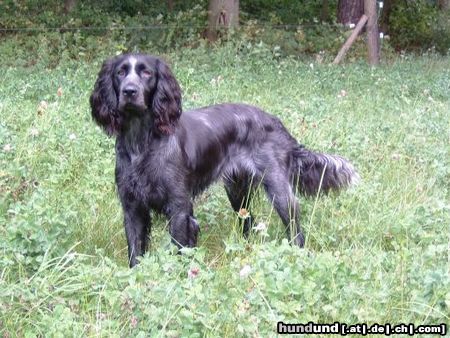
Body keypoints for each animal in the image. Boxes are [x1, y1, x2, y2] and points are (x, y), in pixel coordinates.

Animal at [89, 53, 360, 266]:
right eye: (120, 72)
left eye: (146, 72)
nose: (129, 91)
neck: (141, 142)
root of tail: (276, 122)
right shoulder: (132, 207)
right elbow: (135, 253)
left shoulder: (179, 207)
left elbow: (179, 248)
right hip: (238, 191)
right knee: (249, 222)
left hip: (278, 189)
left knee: (295, 228)